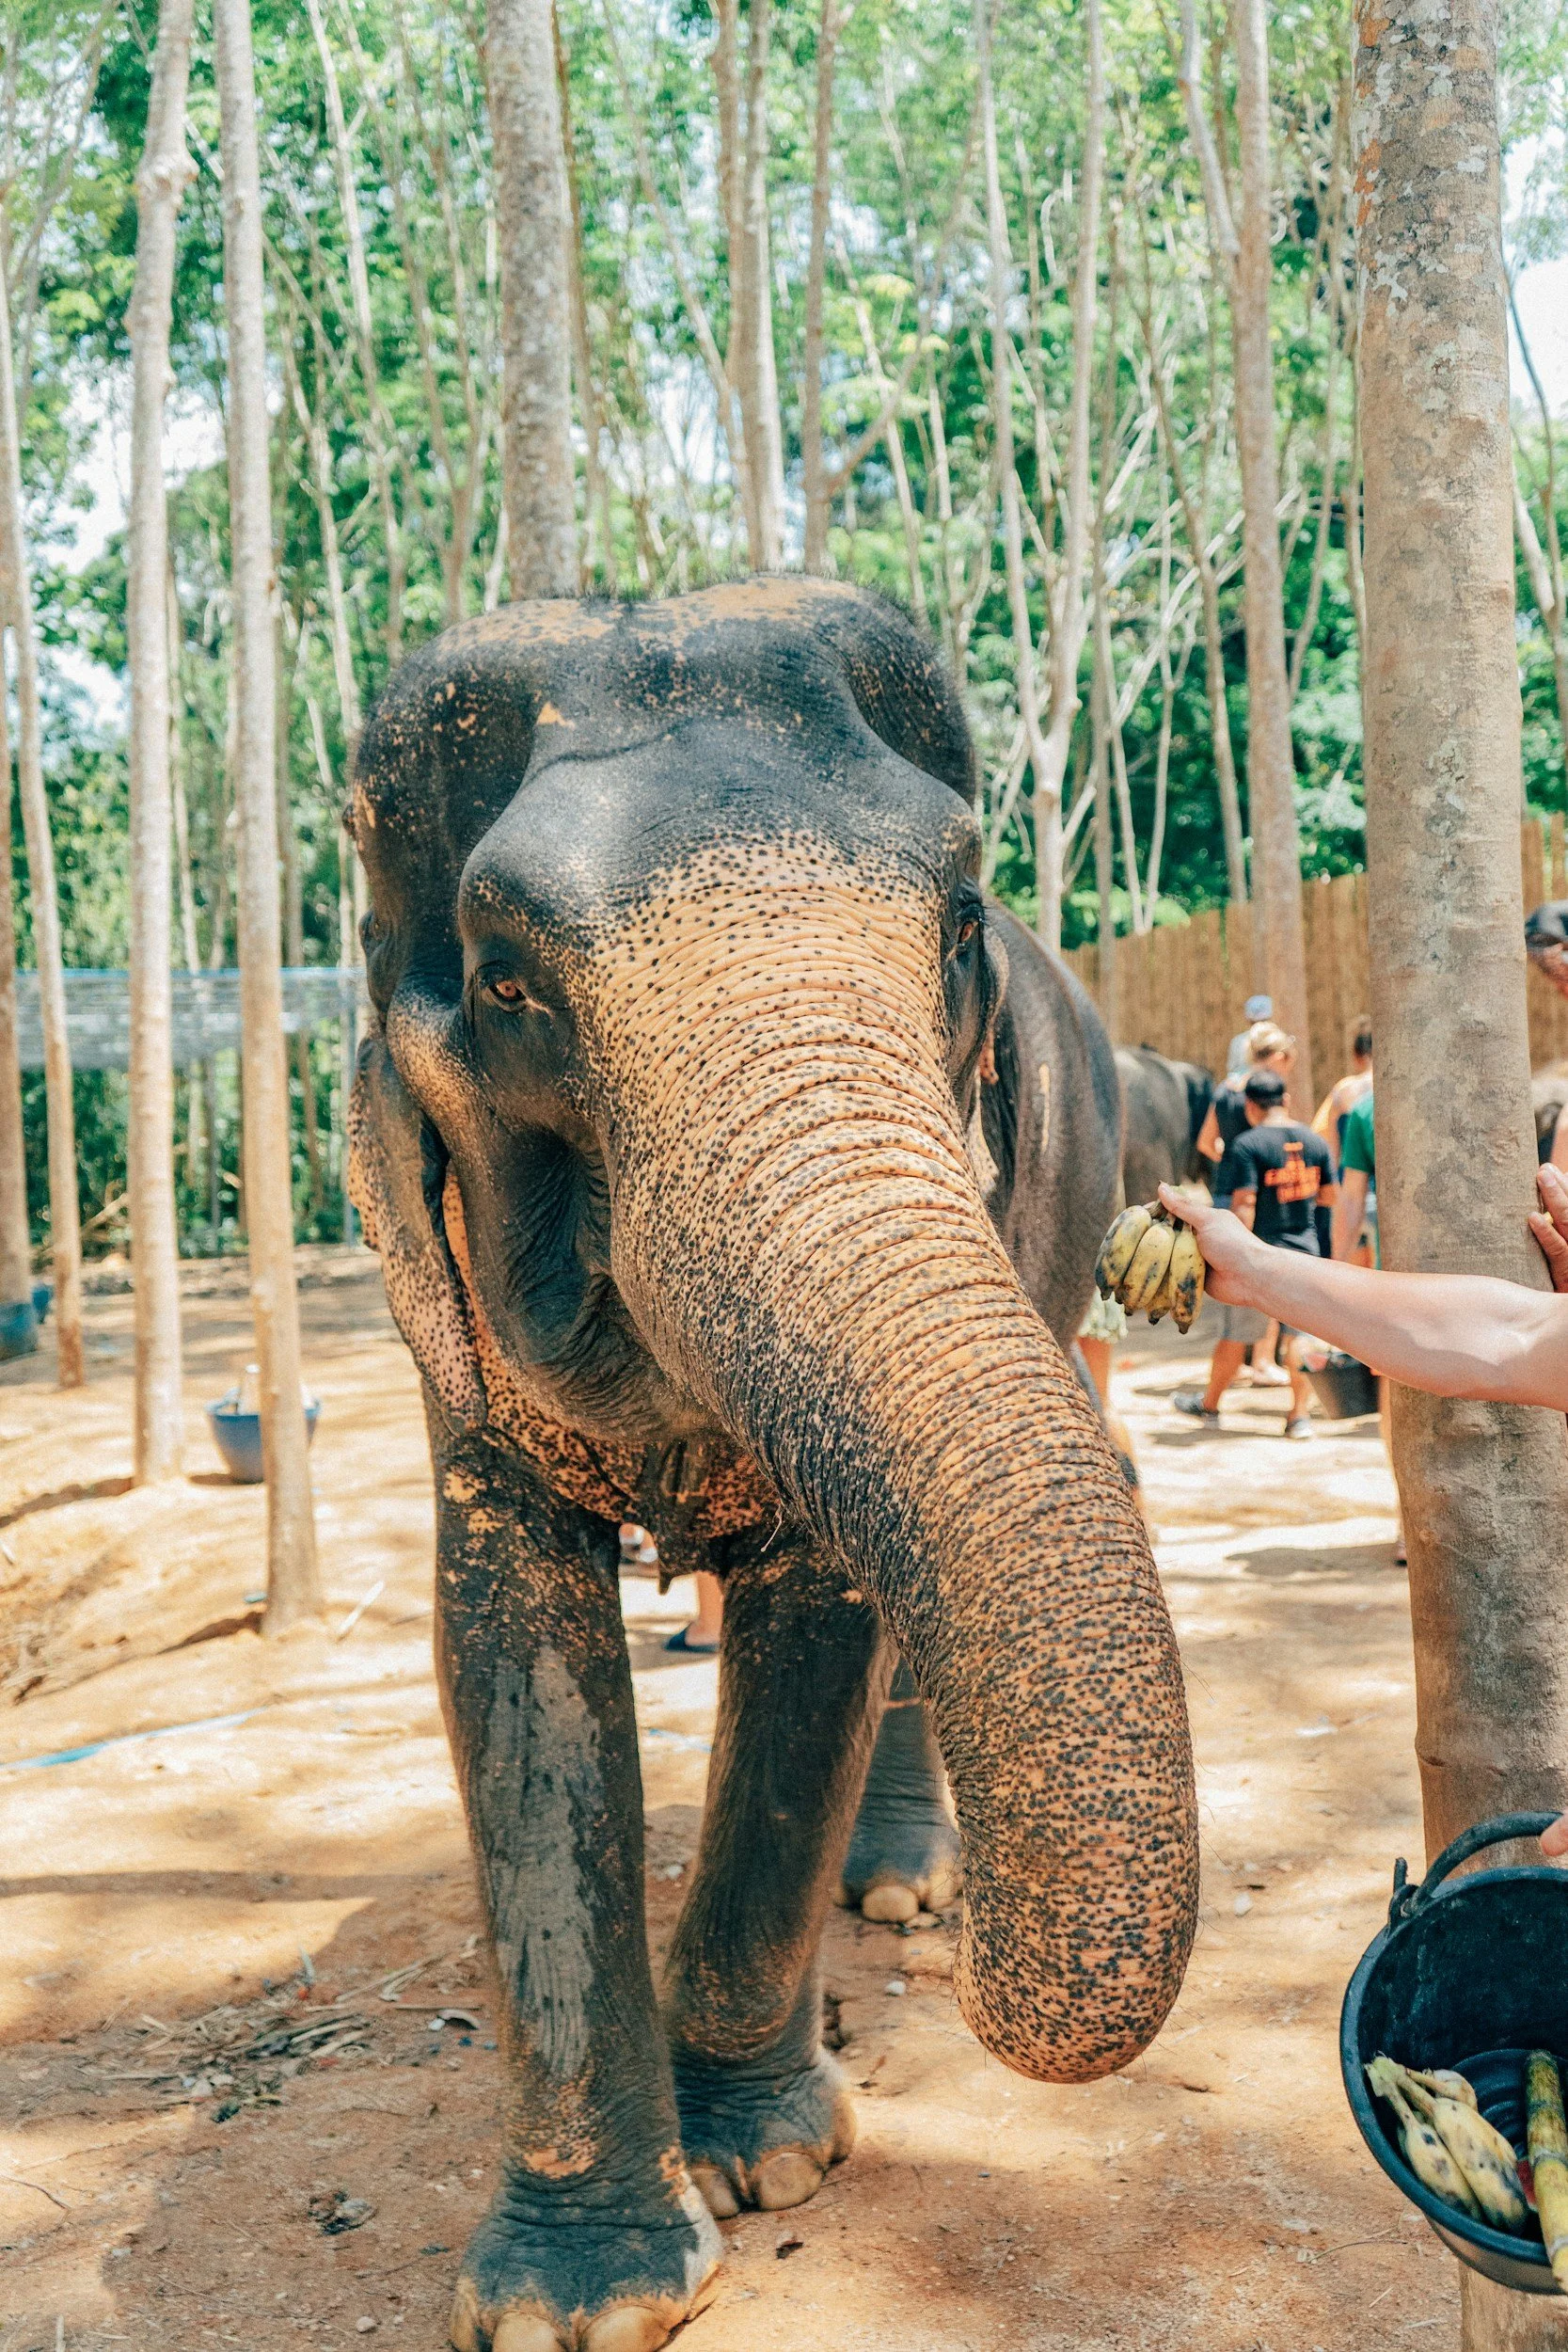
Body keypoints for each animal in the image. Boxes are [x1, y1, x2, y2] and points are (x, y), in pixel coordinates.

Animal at [346, 579, 1199, 2352]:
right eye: (507, 983)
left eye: (957, 924)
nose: (1001, 1976)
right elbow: (506, 1653)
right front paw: (574, 2302)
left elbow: (819, 1627)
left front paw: (766, 2167)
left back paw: (900, 1898)